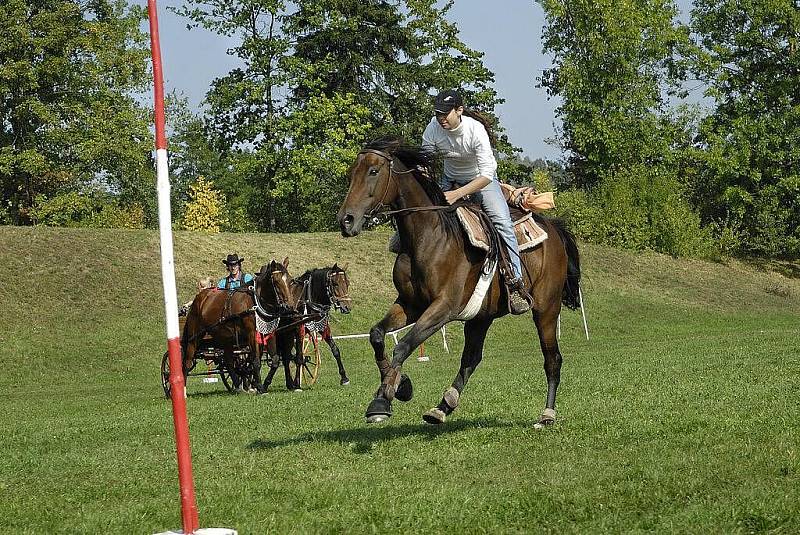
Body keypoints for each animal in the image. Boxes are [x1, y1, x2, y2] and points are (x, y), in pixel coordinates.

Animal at [180, 260, 294, 394]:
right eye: (276, 281)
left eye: (290, 280)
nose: (289, 307)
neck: (255, 302)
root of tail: (199, 297)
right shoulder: (251, 333)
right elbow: (256, 361)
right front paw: (259, 387)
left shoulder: (269, 332)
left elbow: (275, 360)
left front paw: (265, 384)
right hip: (194, 336)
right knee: (187, 362)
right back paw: (182, 390)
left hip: (225, 338)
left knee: (229, 362)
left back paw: (238, 386)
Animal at [262, 262, 354, 390]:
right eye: (335, 284)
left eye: (347, 283)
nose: (347, 308)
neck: (307, 298)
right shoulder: (298, 328)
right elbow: (299, 357)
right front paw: (297, 383)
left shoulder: (323, 326)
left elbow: (335, 350)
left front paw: (344, 377)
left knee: (286, 356)